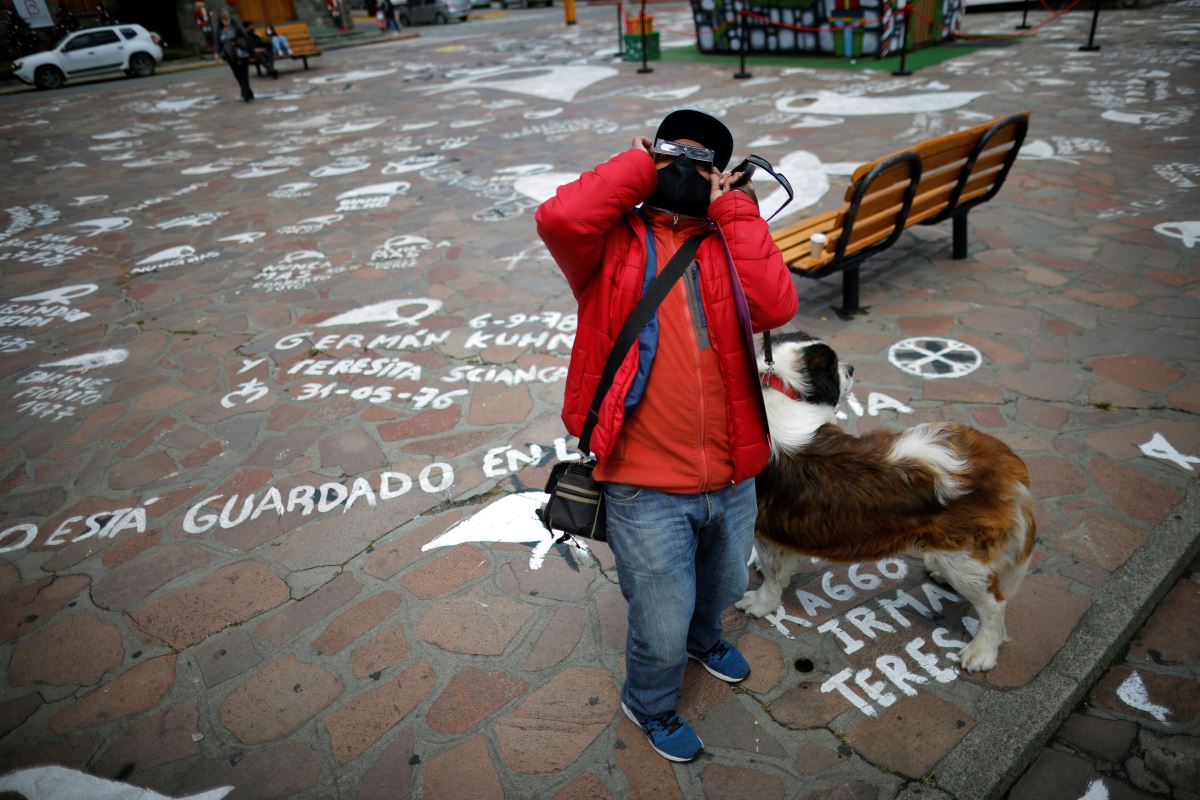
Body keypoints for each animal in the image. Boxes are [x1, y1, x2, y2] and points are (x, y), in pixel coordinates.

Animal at [734, 328, 1036, 671]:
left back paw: (982, 650)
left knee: (994, 605)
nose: (851, 368)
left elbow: (773, 575)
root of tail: (1001, 460)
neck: (779, 388)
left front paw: (761, 603)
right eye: (836, 368)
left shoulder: (766, 527)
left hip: (963, 557)